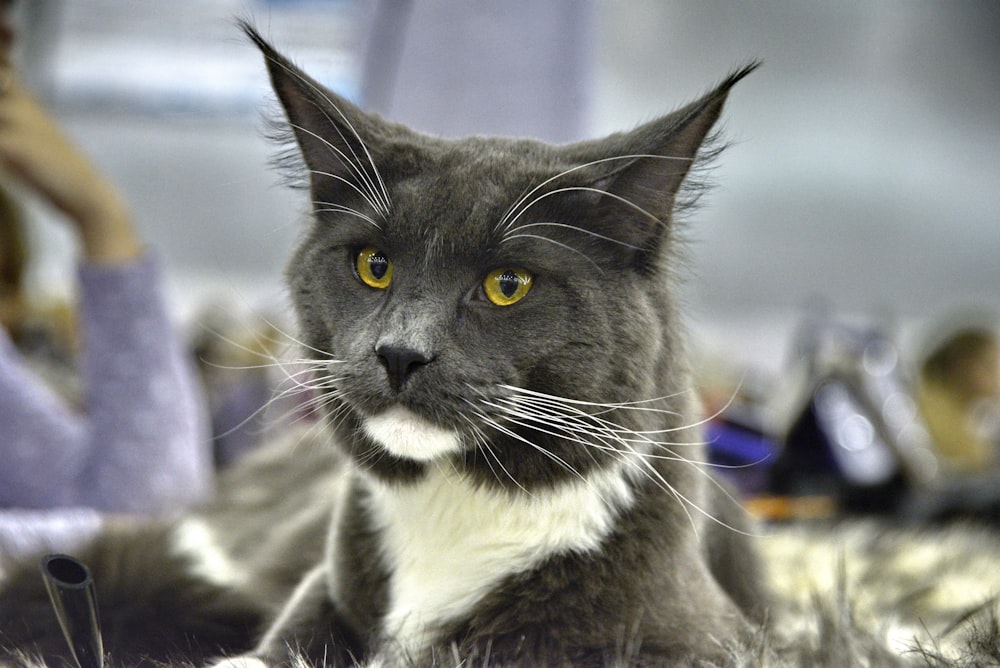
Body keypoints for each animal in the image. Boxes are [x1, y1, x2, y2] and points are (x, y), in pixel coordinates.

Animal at [0, 23, 760, 664]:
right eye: (373, 265)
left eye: (507, 283)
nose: (400, 352)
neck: (453, 510)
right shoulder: (320, 589)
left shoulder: (698, 639)